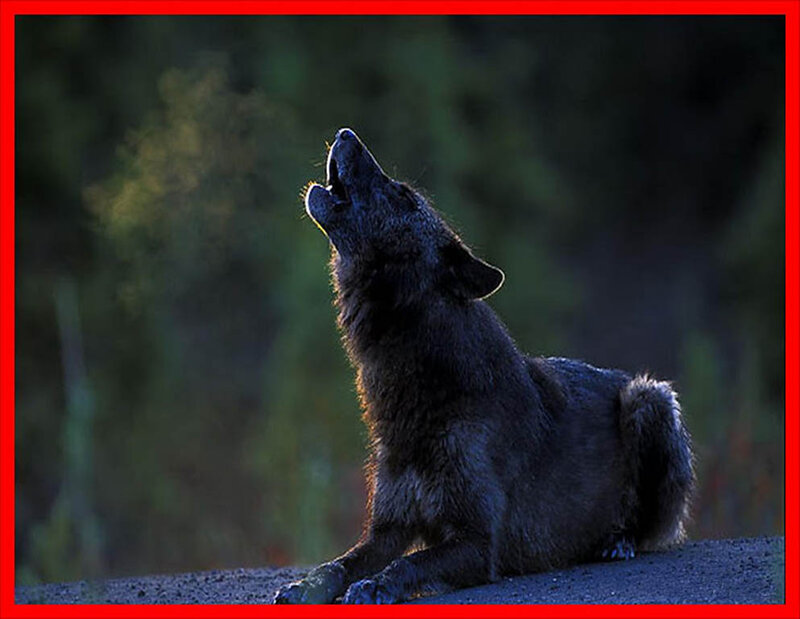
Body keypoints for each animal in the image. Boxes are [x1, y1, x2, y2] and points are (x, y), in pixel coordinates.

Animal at [274, 128, 695, 604]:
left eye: (402, 195)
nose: (345, 133)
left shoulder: (477, 542)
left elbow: (408, 564)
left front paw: (376, 585)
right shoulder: (387, 529)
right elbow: (339, 564)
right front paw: (305, 586)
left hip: (649, 397)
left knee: (649, 526)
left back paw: (617, 541)